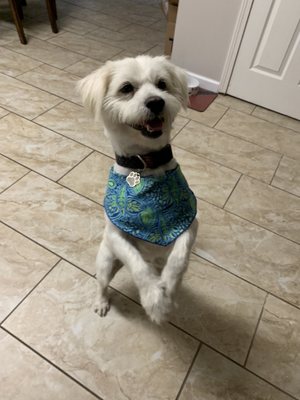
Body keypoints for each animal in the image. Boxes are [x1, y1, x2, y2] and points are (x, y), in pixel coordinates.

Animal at [78, 55, 198, 324]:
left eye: (162, 84)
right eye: (126, 88)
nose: (156, 102)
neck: (146, 167)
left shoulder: (189, 222)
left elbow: (179, 258)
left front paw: (169, 290)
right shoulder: (116, 234)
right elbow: (137, 264)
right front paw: (154, 300)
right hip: (106, 260)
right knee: (102, 282)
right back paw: (101, 302)